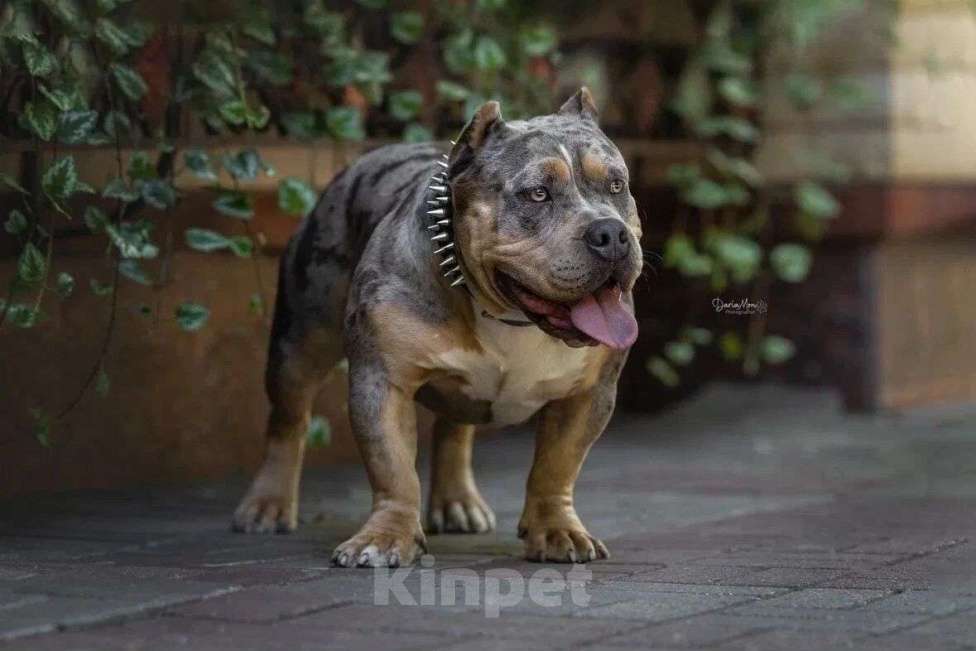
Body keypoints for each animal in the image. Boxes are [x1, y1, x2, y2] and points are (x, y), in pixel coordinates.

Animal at [233, 89, 644, 568]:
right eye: (537, 194)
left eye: (616, 185)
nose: (610, 233)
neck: (507, 315)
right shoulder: (382, 382)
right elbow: (393, 468)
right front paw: (386, 536)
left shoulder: (589, 395)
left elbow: (556, 466)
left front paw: (556, 529)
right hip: (299, 346)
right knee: (288, 421)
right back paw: (268, 504)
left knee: (454, 428)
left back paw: (456, 502)